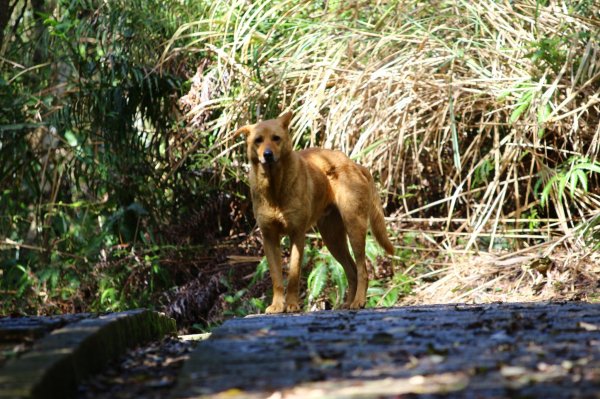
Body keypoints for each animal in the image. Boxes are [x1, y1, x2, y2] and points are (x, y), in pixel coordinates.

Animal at [234, 111, 394, 314]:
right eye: (258, 140)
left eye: (276, 138)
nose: (267, 155)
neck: (275, 189)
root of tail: (355, 164)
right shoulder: (269, 237)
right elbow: (277, 278)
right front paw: (277, 305)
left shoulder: (297, 234)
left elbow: (294, 274)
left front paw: (292, 304)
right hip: (333, 238)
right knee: (351, 271)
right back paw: (347, 304)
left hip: (354, 227)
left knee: (362, 269)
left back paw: (359, 301)